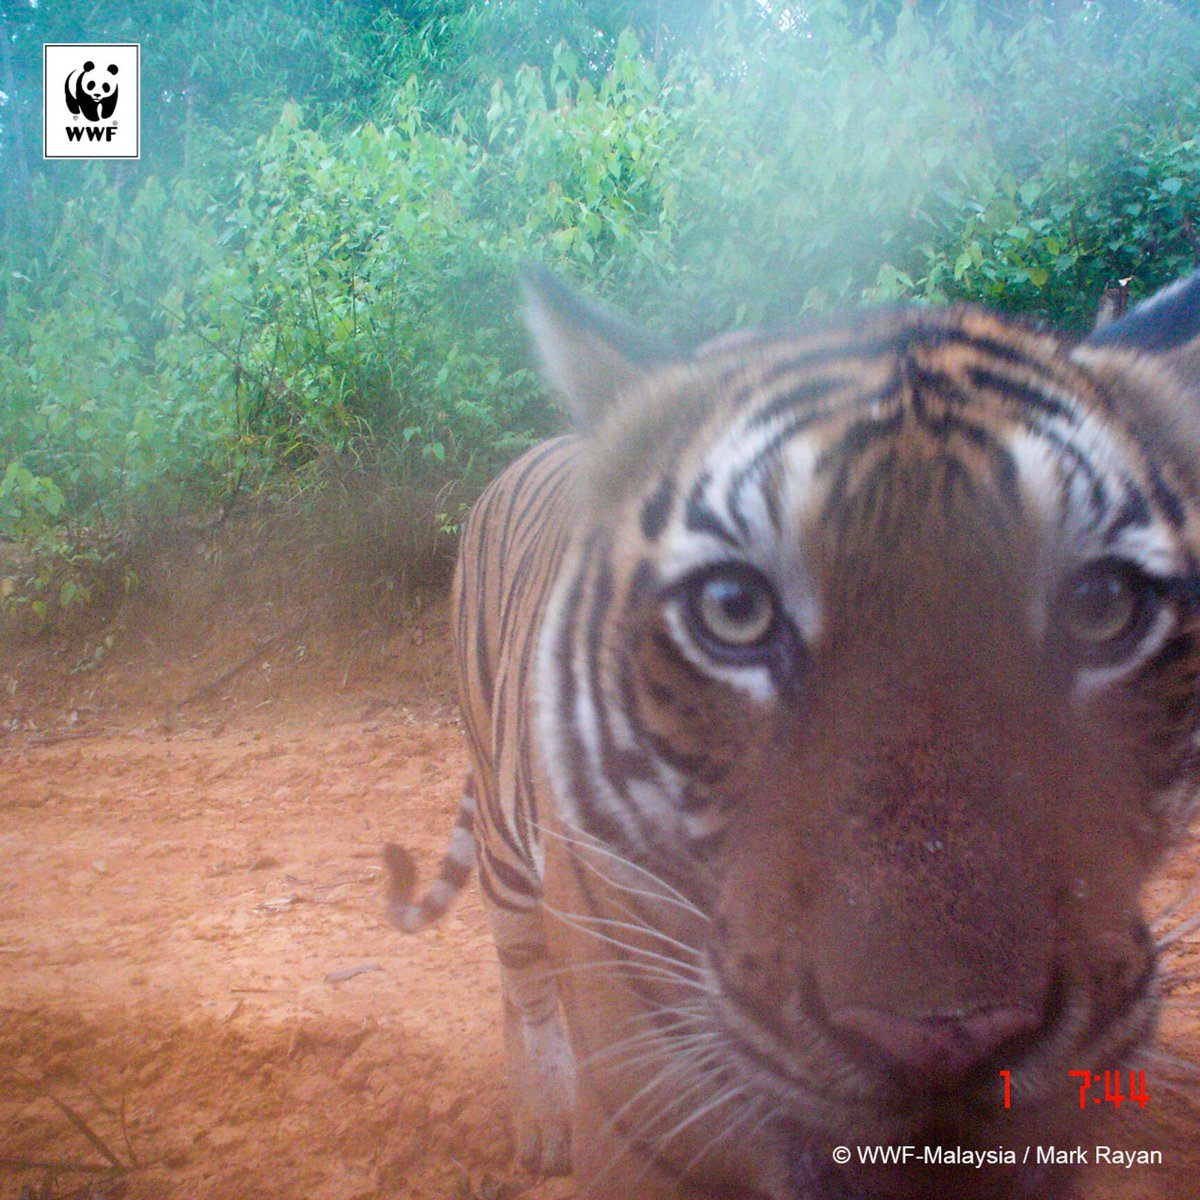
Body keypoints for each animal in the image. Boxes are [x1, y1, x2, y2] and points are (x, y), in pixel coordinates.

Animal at [386, 266, 1200, 1200]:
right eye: (733, 610)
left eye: (1101, 606)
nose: (944, 1039)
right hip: (506, 853)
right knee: (518, 970)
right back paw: (542, 1113)